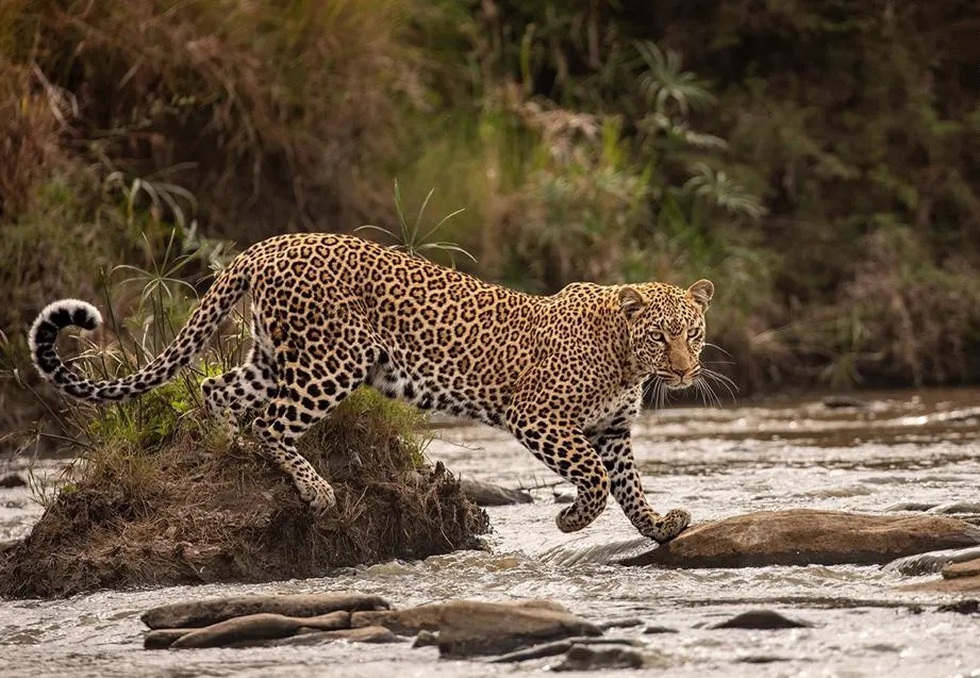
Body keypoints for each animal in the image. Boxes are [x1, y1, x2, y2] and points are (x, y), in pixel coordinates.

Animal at [28, 234, 712, 540]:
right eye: (660, 336)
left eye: (694, 333)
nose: (683, 371)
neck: (626, 360)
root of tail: (267, 244)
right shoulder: (538, 416)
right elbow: (595, 479)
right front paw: (572, 519)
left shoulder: (613, 429)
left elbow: (628, 484)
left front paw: (659, 525)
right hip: (331, 362)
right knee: (270, 422)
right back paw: (315, 491)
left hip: (273, 357)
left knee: (217, 391)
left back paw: (222, 454)